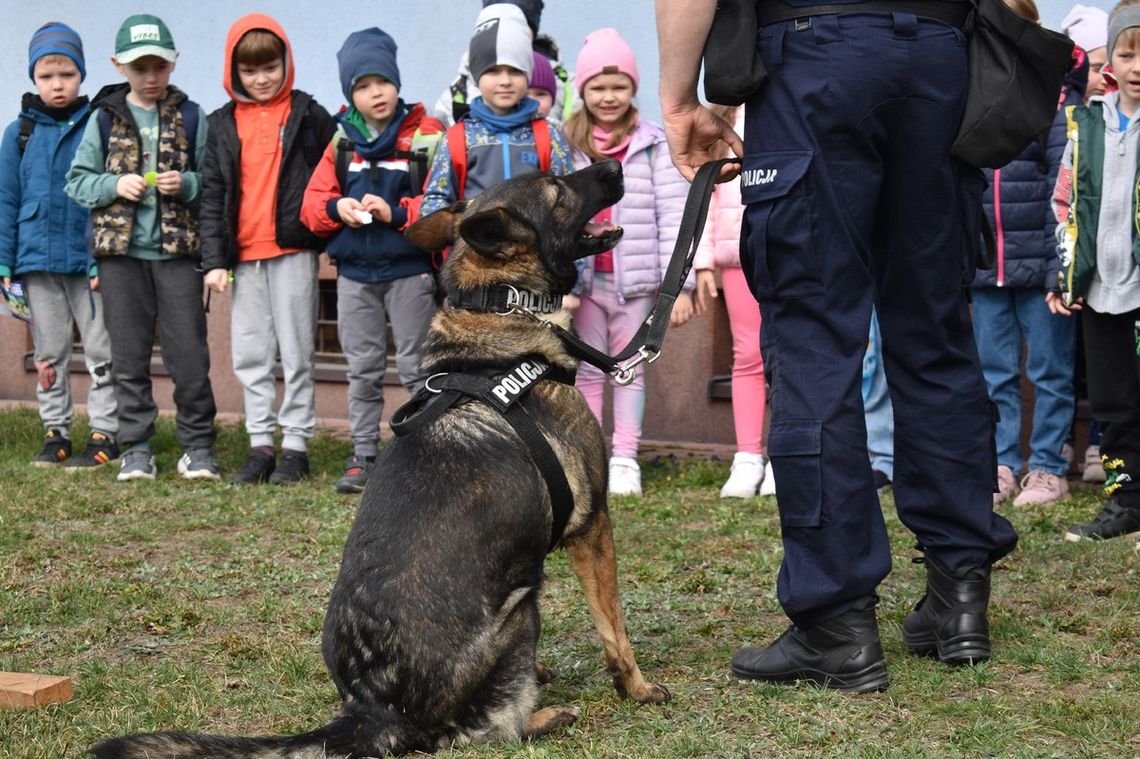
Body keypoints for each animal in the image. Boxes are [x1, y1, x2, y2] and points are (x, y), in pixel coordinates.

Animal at [95, 156, 665, 752]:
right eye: (558, 188)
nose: (613, 163)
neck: (501, 311)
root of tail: (370, 709)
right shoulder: (592, 526)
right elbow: (614, 627)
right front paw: (638, 688)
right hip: (522, 602)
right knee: (488, 731)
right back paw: (545, 715)